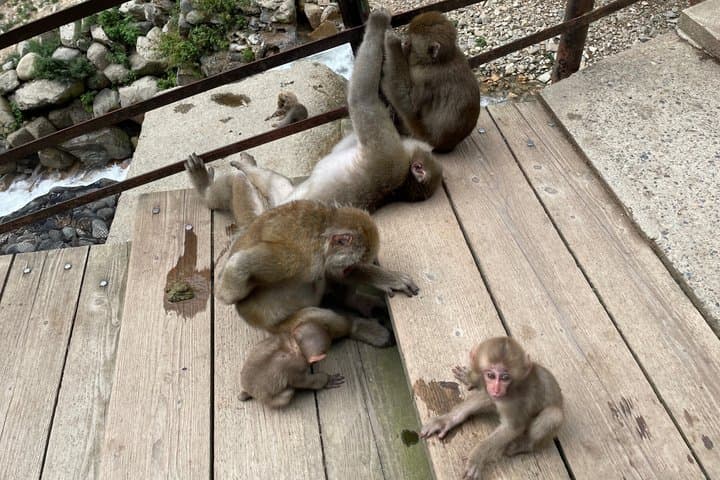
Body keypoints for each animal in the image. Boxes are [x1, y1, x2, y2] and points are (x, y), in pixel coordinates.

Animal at [191, 9, 443, 215]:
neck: (400, 184)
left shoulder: (386, 154)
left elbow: (361, 99)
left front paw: (377, 23)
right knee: (276, 184)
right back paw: (246, 167)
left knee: (237, 183)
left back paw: (205, 187)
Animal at [380, 11, 480, 153]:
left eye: (409, 44)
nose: (404, 43)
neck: (435, 61)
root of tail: (443, 144)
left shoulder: (424, 78)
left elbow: (411, 105)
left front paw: (391, 41)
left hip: (419, 134)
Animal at [420, 337, 564, 480]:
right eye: (491, 376)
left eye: (505, 377)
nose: (496, 389)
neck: (512, 387)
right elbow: (486, 398)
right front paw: (446, 420)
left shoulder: (511, 401)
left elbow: (512, 428)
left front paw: (477, 457)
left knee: (553, 415)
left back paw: (524, 444)